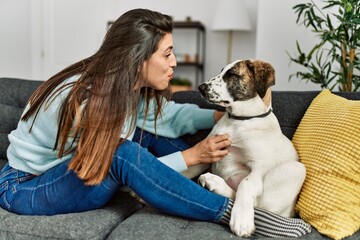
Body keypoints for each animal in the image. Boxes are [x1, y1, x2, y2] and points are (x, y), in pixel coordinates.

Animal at [194, 59, 306, 236]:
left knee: (259, 206)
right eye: (221, 71)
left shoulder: (260, 167)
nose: (201, 87)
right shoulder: (206, 152)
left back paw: (216, 184)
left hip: (297, 168)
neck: (238, 121)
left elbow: (245, 184)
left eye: (232, 74)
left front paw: (241, 220)